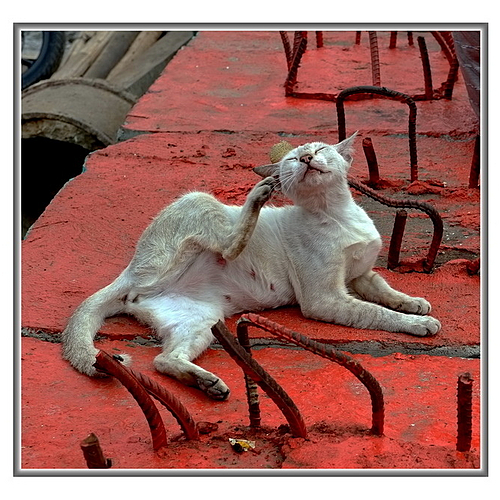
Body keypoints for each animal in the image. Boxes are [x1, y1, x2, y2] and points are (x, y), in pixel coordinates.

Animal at [62, 133, 441, 400]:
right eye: (293, 159)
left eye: (319, 150)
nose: (306, 158)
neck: (336, 213)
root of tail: (129, 270)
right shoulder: (325, 298)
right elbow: (377, 313)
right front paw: (421, 324)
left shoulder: (359, 275)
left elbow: (387, 292)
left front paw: (416, 304)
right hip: (201, 203)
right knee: (229, 242)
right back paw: (257, 197)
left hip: (202, 322)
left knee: (162, 360)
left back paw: (208, 384)